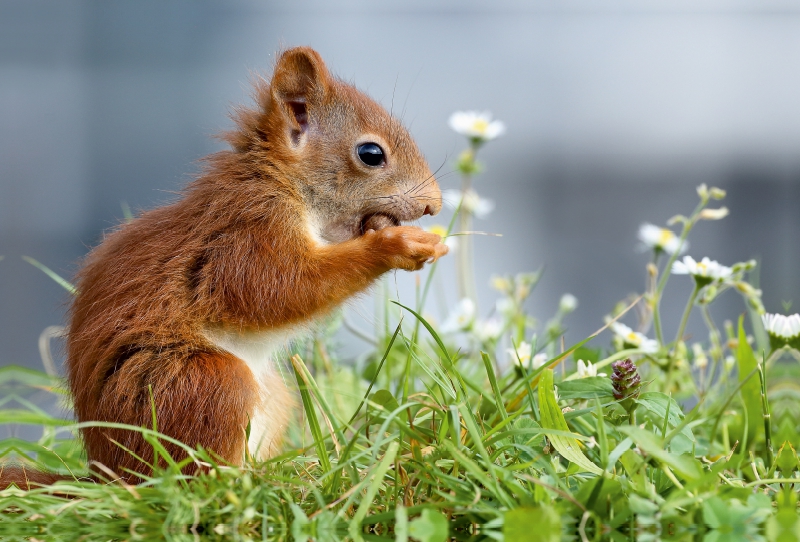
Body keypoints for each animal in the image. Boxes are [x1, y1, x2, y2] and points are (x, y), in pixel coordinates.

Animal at [4, 46, 444, 488]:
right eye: (371, 154)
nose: (434, 205)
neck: (282, 184)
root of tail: (108, 475)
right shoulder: (246, 233)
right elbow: (275, 289)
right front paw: (393, 245)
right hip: (200, 385)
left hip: (272, 396)